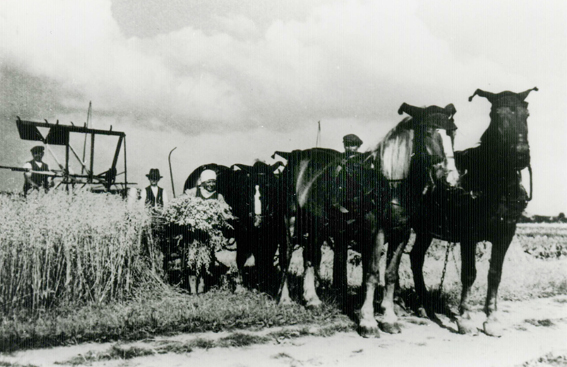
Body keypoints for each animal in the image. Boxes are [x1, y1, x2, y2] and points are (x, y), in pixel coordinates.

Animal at [360, 103, 462, 336]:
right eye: (428, 132)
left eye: (452, 133)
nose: (451, 179)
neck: (391, 185)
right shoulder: (376, 233)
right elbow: (372, 273)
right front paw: (367, 321)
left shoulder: (402, 233)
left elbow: (390, 274)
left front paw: (389, 318)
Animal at [410, 87, 540, 338]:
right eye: (496, 115)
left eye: (526, 114)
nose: (521, 155)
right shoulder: (468, 235)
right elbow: (469, 273)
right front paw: (465, 318)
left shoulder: (505, 233)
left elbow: (495, 274)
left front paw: (491, 318)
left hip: (425, 231)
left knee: (415, 257)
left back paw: (424, 304)